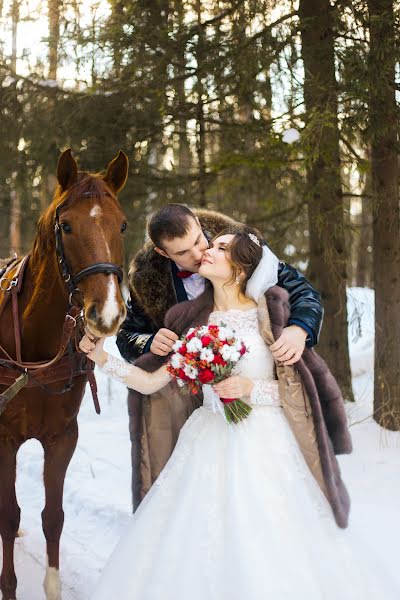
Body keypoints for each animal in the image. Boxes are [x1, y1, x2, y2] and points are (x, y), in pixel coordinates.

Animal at [0, 150, 128, 600]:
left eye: (122, 224)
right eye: (67, 225)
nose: (107, 313)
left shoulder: (62, 436)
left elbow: (52, 516)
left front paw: (52, 586)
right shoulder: (4, 437)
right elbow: (9, 515)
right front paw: (8, 587)